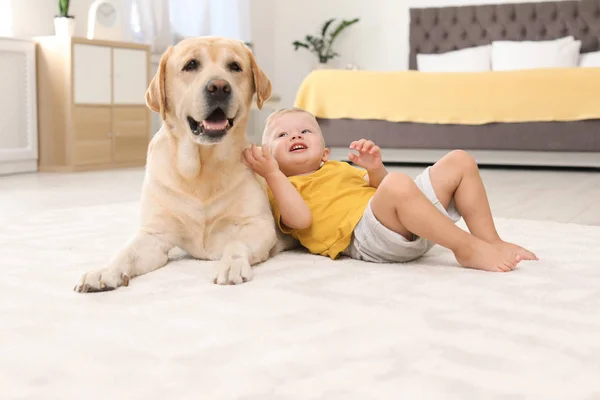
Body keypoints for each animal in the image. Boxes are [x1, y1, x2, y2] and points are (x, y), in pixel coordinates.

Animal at [74, 36, 282, 292]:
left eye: (235, 66)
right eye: (191, 65)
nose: (219, 87)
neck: (201, 168)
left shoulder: (258, 225)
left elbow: (235, 244)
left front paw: (231, 265)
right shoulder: (153, 235)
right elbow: (125, 252)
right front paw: (105, 271)